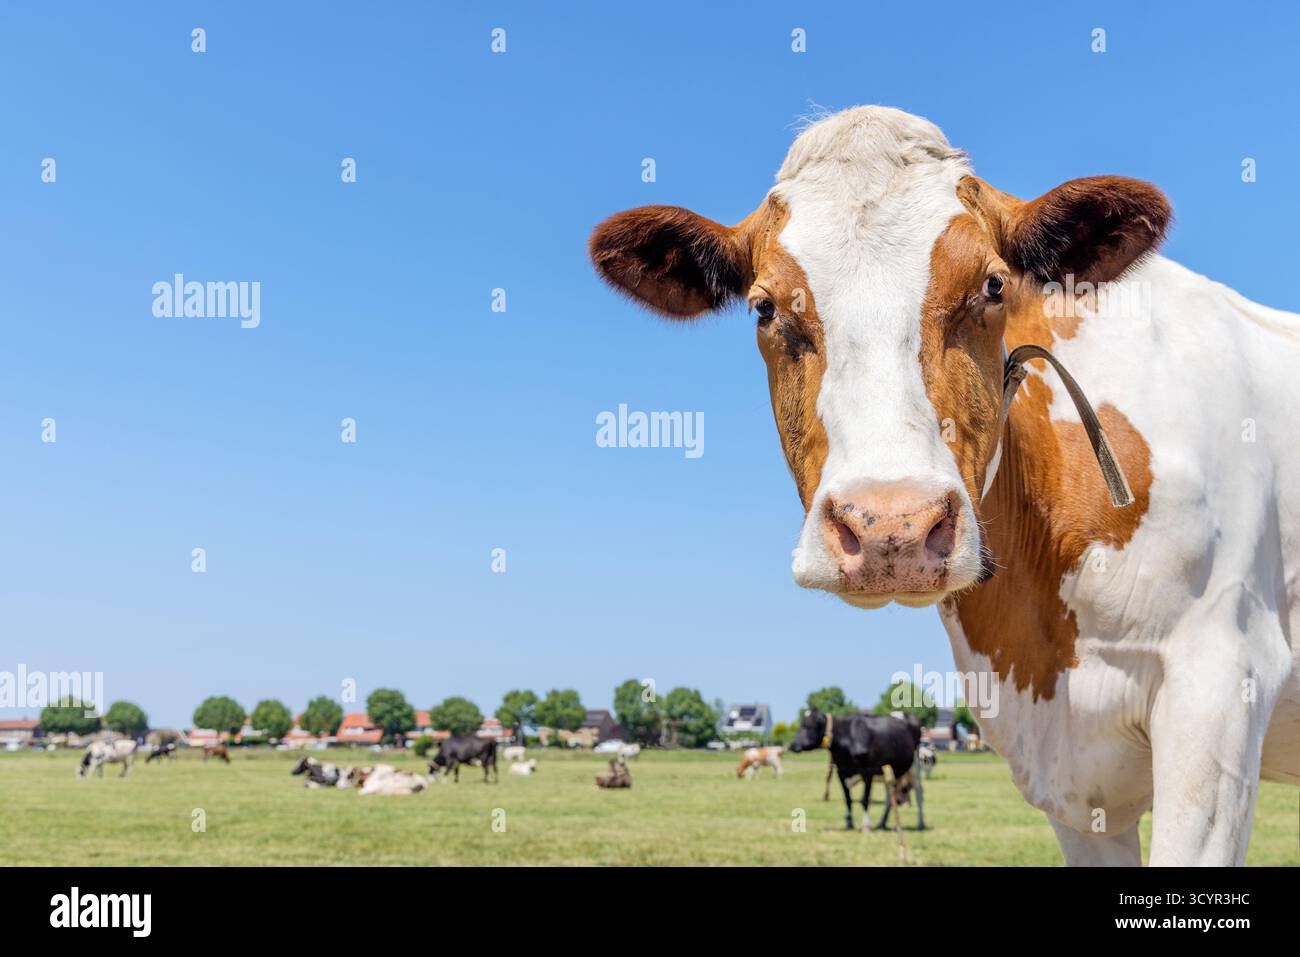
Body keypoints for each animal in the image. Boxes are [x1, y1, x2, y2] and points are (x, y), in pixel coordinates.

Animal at [791, 710, 924, 831]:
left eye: (808, 725)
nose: (792, 745)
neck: (848, 737)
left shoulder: (868, 771)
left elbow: (864, 799)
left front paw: (866, 825)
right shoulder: (841, 771)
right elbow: (848, 799)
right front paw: (849, 823)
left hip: (915, 767)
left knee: (919, 793)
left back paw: (920, 824)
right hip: (891, 772)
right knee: (890, 797)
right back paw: (882, 823)